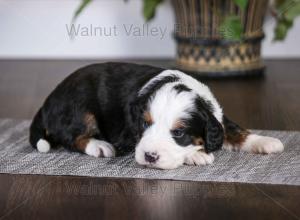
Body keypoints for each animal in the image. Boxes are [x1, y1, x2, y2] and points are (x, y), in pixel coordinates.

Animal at [29, 62, 284, 169]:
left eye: (178, 132)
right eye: (144, 124)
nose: (150, 156)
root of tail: (48, 100)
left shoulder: (216, 116)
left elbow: (232, 128)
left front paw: (265, 141)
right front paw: (197, 155)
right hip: (80, 108)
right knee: (72, 137)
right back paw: (99, 146)